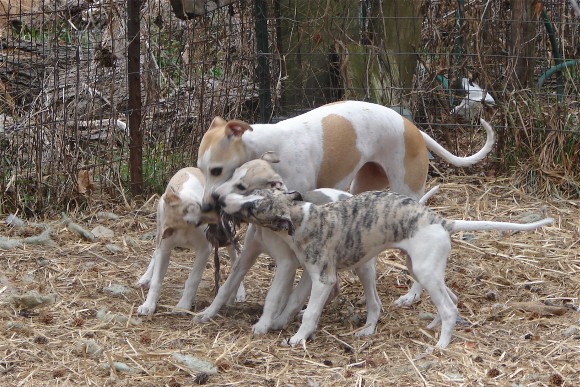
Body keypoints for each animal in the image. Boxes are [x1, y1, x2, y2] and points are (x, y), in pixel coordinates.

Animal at [136, 167, 245, 316]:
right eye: (196, 221)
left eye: (198, 205)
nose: (219, 211)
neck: (185, 230)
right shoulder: (165, 247)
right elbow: (156, 281)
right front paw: (148, 305)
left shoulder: (204, 249)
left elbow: (193, 279)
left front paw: (182, 306)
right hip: (159, 233)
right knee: (155, 253)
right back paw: (145, 278)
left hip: (229, 238)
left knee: (237, 260)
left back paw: (240, 292)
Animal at [195, 99, 494, 322]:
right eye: (201, 168)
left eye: (217, 170)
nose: (207, 206)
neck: (266, 145)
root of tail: (412, 127)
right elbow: (232, 279)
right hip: (363, 187)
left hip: (407, 197)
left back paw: (413, 294)